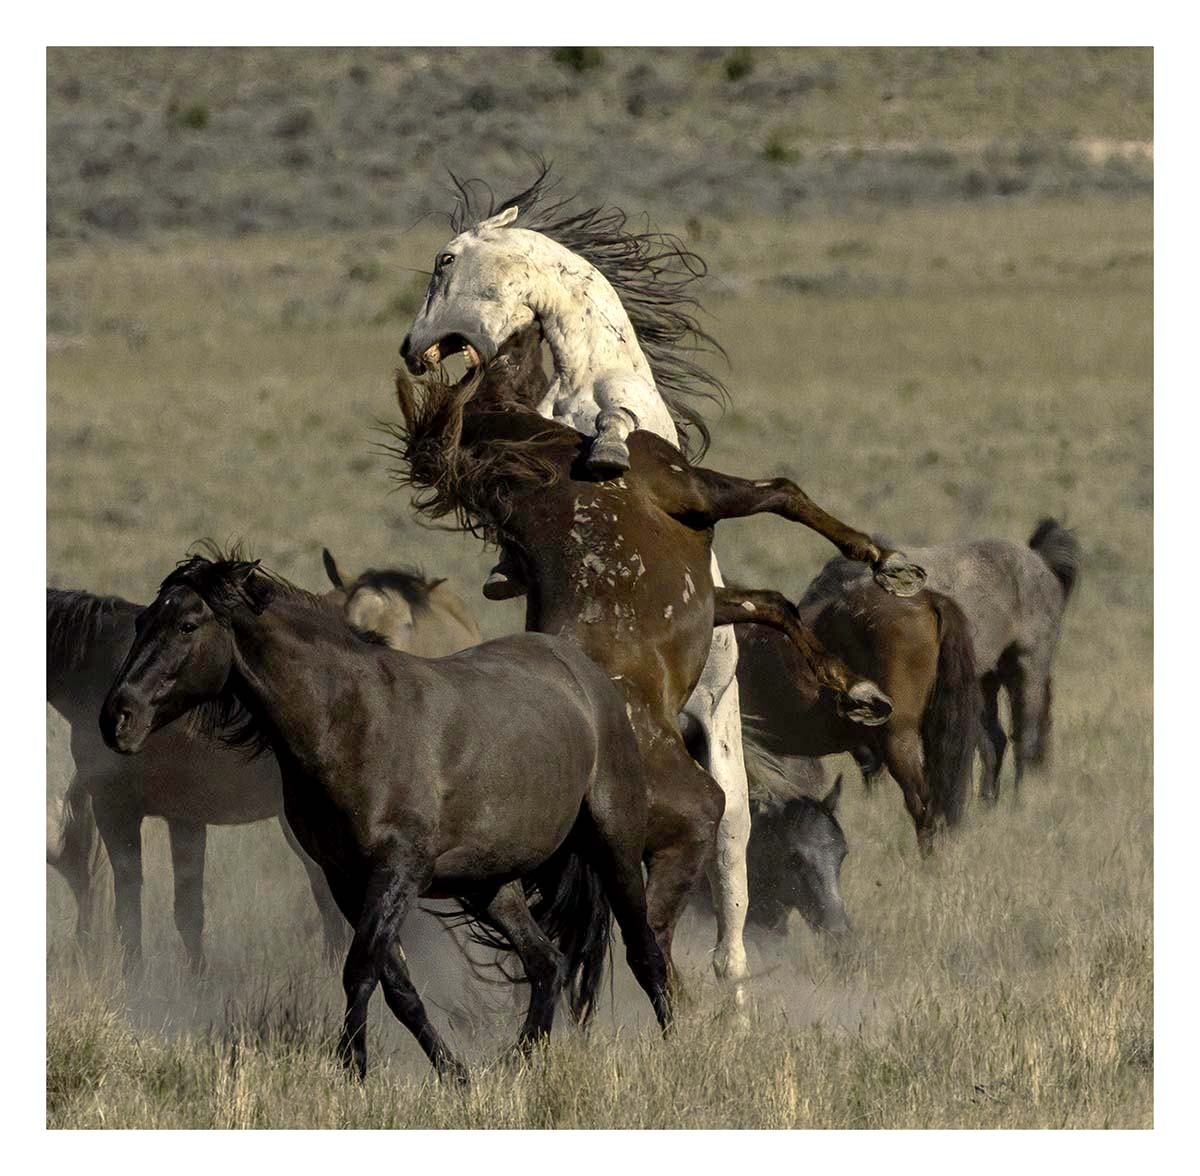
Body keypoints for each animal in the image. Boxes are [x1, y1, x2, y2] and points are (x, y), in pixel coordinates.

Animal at [46, 554, 482, 973]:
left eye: (187, 626)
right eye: (141, 624)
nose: (117, 718)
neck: (94, 661)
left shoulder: (115, 809)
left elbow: (127, 905)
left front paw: (135, 980)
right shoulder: (184, 817)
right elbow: (188, 909)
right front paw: (195, 980)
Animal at [100, 553, 673, 1081]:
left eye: (187, 625)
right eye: (140, 622)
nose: (116, 718)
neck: (353, 720)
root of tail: (585, 675)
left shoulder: (397, 872)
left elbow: (360, 969)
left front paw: (353, 1068)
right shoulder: (345, 880)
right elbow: (396, 985)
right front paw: (453, 1075)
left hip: (614, 847)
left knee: (644, 952)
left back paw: (674, 1050)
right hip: (490, 884)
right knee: (547, 963)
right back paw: (519, 1064)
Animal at [397, 168, 925, 999]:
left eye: (446, 261)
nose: (412, 351)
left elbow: (779, 521)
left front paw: (886, 581)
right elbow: (779, 502)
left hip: (724, 774)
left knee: (728, 900)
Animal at [798, 519, 1080, 801]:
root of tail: (1039, 558)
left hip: (1026, 668)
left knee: (1025, 738)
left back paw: (1017, 802)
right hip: (985, 679)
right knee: (994, 741)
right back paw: (987, 802)